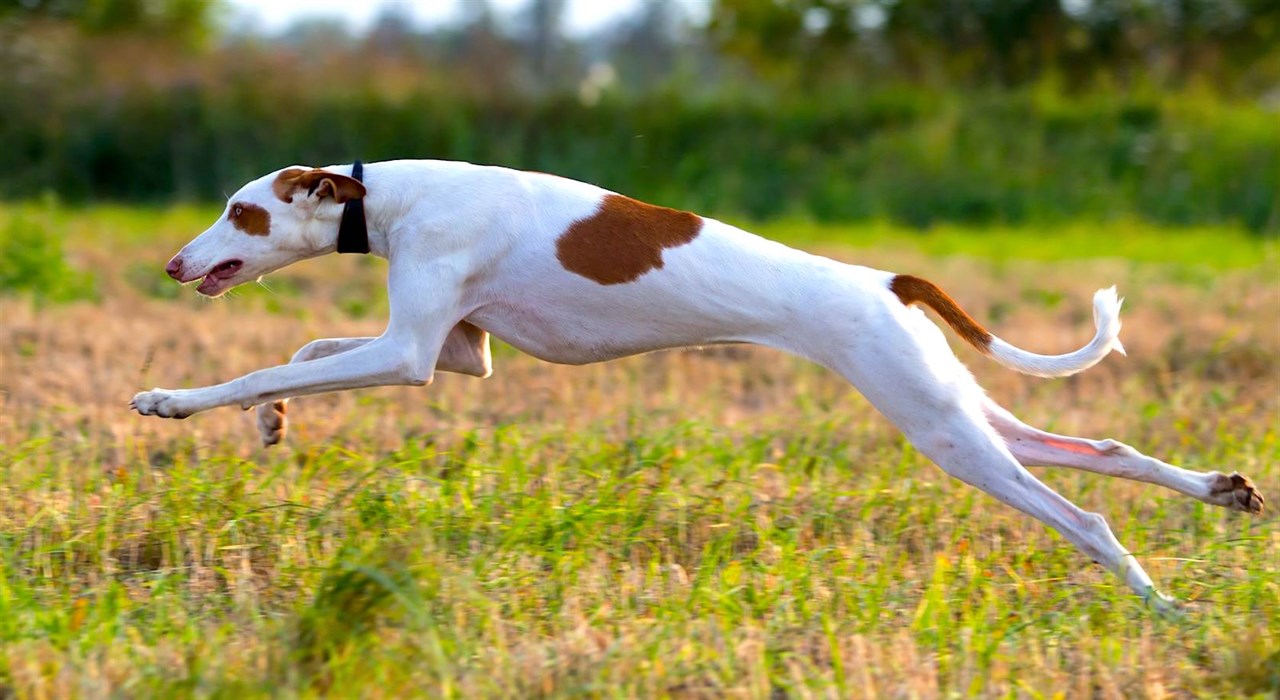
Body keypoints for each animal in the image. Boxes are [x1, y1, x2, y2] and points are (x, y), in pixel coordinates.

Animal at [129, 158, 1259, 609]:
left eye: (241, 211)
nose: (175, 264)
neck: (391, 195)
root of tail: (886, 280)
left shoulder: (412, 354)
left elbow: (266, 359)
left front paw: (174, 402)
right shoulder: (454, 351)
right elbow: (304, 355)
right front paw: (273, 420)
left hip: (941, 431)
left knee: (1082, 514)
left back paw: (1158, 601)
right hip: (954, 408)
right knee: (1099, 449)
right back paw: (1221, 491)